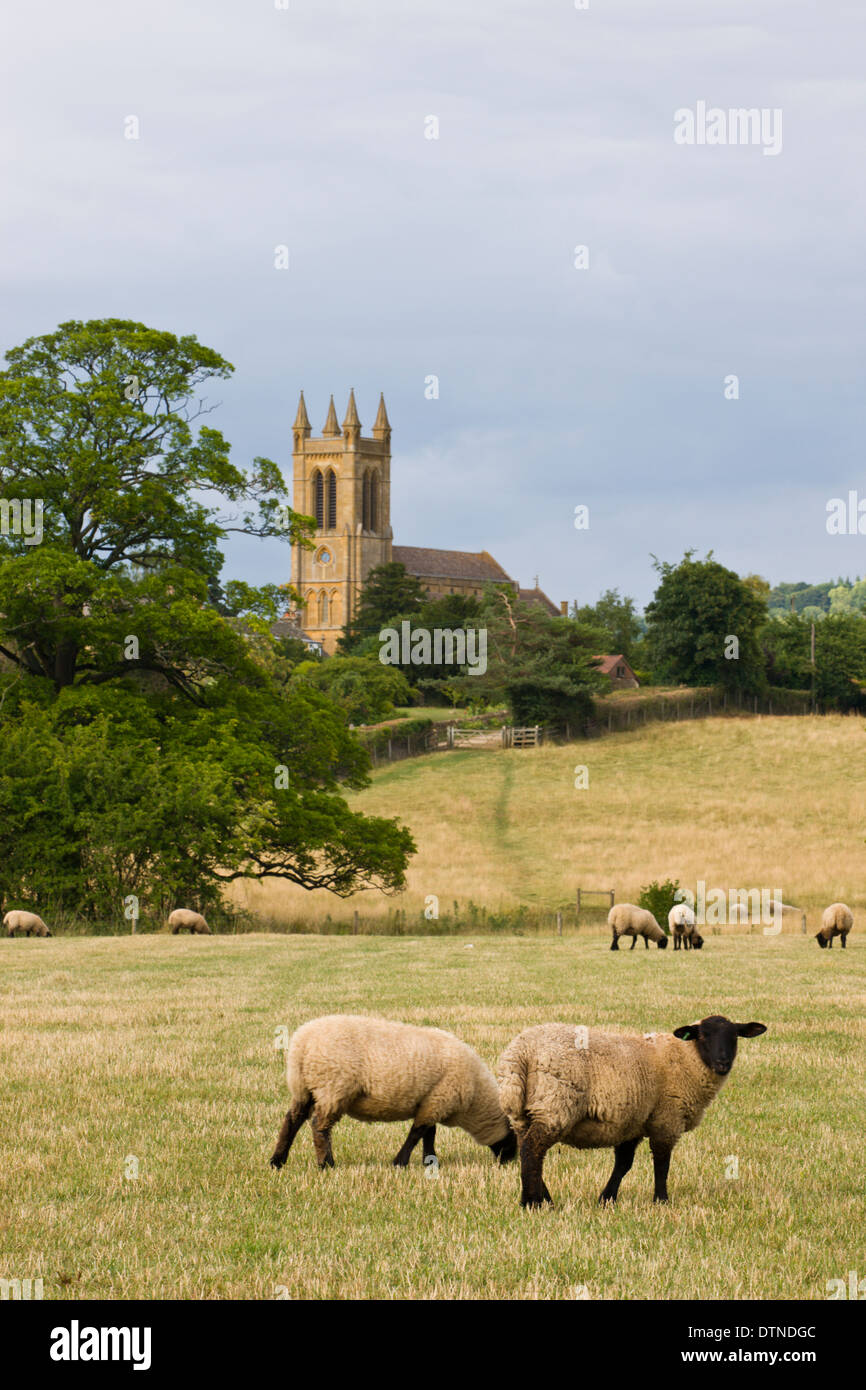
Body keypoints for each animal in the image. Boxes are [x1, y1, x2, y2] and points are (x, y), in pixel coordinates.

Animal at [269, 1011, 514, 1173]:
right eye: (515, 1136)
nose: (510, 1161)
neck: (475, 1101)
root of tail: (303, 1043)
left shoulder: (432, 1100)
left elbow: (428, 1133)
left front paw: (430, 1161)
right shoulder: (439, 1099)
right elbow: (417, 1133)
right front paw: (400, 1163)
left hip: (305, 1088)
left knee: (292, 1120)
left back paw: (277, 1161)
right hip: (333, 1088)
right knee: (319, 1126)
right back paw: (326, 1164)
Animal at [497, 1011, 767, 1206]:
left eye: (734, 1037)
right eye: (703, 1036)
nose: (723, 1062)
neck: (686, 1058)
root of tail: (521, 1052)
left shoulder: (633, 1122)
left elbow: (624, 1164)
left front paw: (607, 1199)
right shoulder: (666, 1120)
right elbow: (662, 1164)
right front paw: (661, 1200)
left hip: (523, 1112)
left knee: (526, 1148)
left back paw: (544, 1198)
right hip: (554, 1106)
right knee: (533, 1151)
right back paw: (532, 1203)